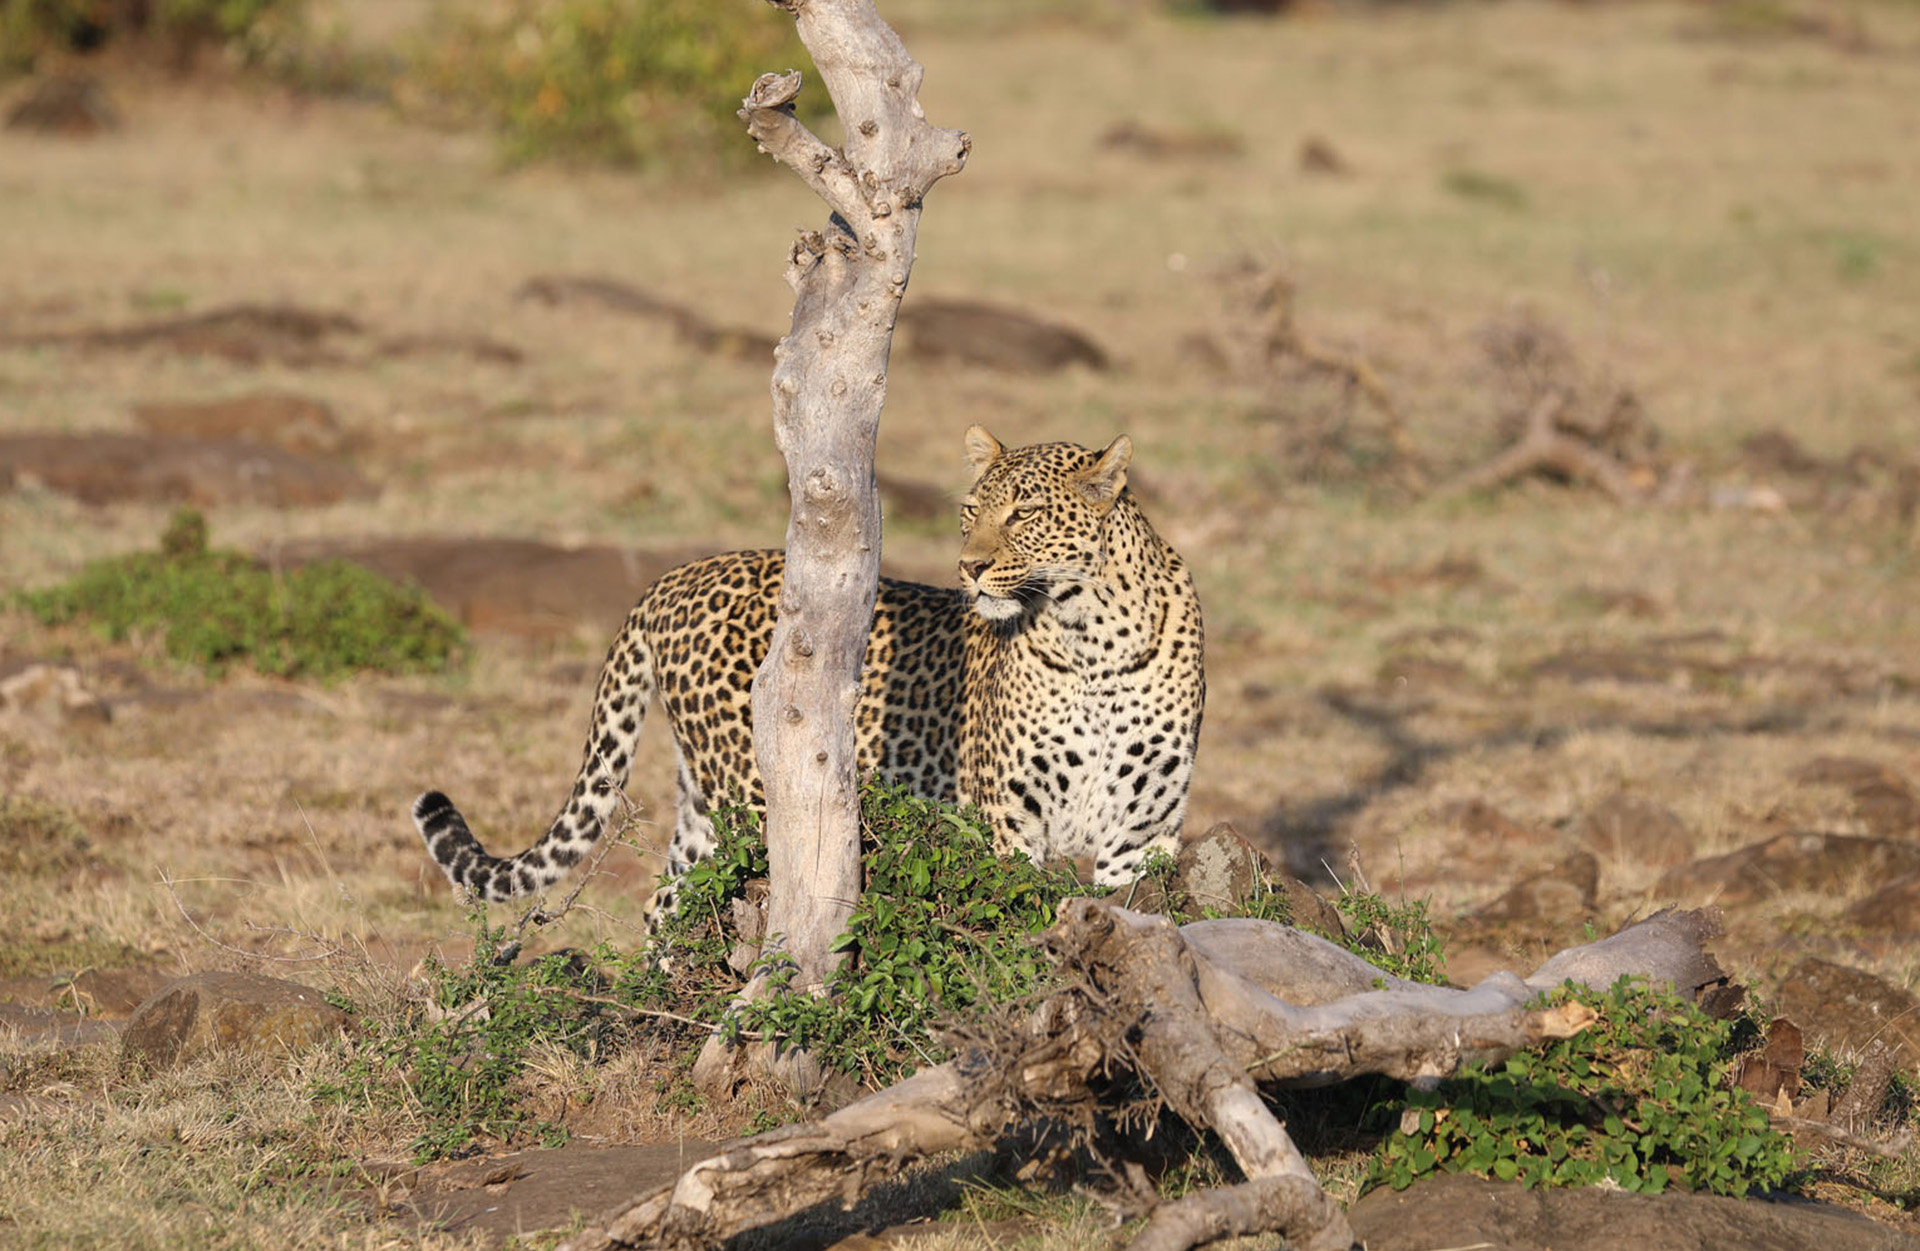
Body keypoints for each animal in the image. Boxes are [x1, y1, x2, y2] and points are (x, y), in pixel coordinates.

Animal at [411, 425, 1205, 915]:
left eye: (1027, 513)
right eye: (972, 509)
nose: (969, 566)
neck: (1092, 639)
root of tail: (670, 579)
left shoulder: (1142, 836)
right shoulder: (1008, 819)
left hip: (701, 802)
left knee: (665, 900)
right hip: (758, 795)